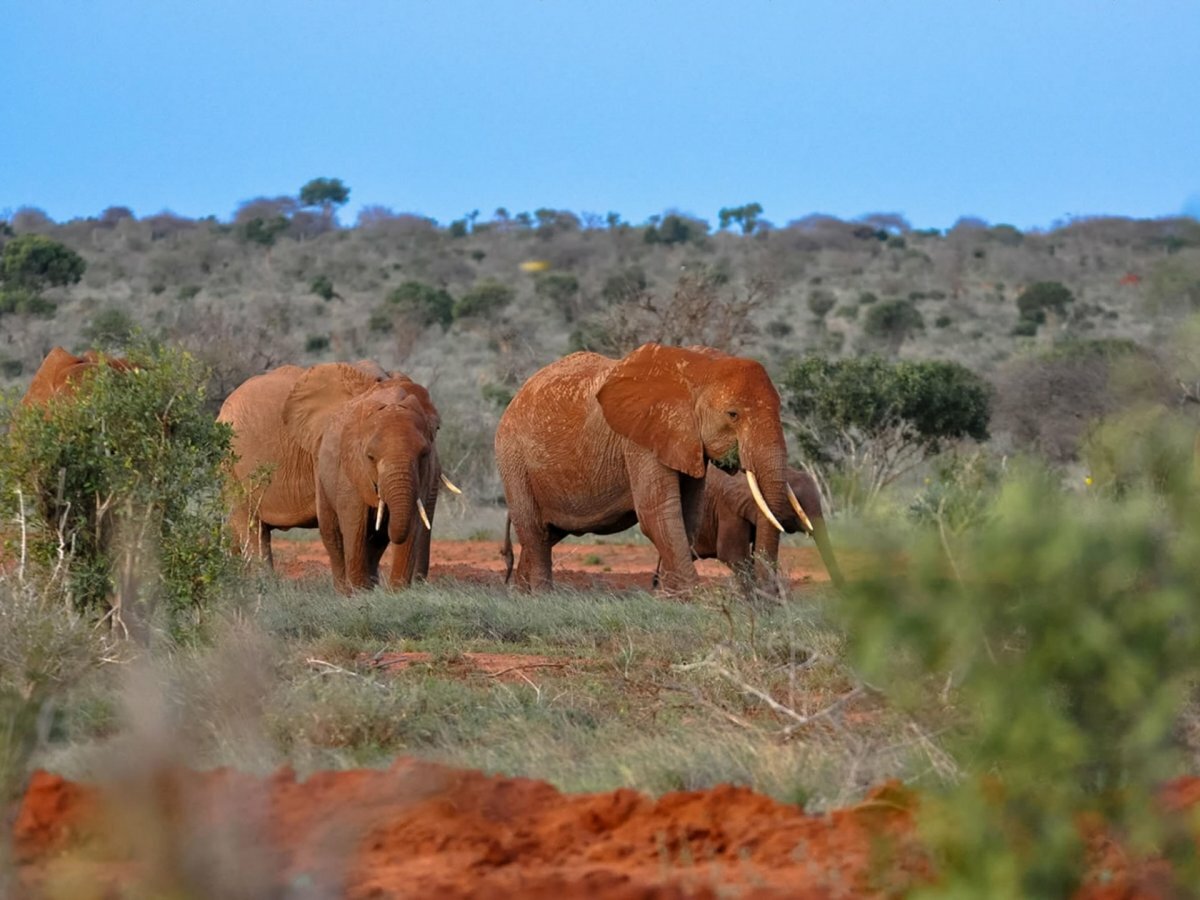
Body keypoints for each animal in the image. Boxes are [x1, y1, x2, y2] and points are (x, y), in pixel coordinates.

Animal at [218, 361, 458, 588]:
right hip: (231, 467)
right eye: (369, 456)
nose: (419, 584)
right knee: (252, 528)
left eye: (436, 429)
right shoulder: (327, 451)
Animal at [494, 342, 812, 592]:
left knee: (545, 536)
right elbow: (659, 513)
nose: (768, 599)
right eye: (733, 415)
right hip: (513, 457)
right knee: (534, 532)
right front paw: (692, 600)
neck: (698, 369)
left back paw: (522, 598)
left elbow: (686, 514)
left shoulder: (686, 442)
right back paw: (541, 597)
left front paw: (671, 598)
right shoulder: (641, 439)